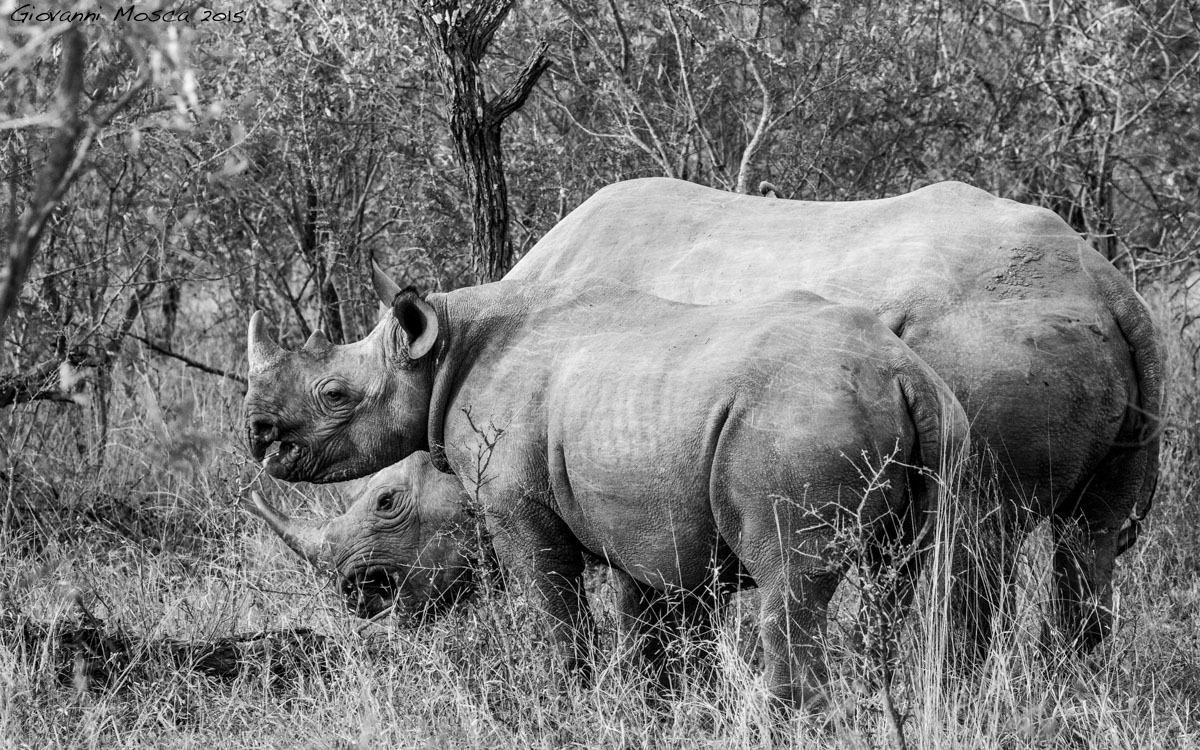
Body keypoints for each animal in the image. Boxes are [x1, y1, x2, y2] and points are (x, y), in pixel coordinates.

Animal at [245, 273, 968, 706]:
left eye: (386, 502)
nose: (257, 433)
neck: (443, 353)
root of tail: (902, 372)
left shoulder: (518, 509)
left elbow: (557, 608)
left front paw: (567, 699)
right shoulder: (640, 517)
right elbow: (644, 626)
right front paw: (654, 705)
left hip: (793, 422)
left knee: (789, 588)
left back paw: (784, 719)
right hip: (938, 419)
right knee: (905, 578)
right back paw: (883, 702)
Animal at [246, 178, 1161, 660]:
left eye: (386, 504)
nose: (357, 597)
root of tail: (1109, 287)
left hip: (982, 341)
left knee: (973, 544)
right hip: (1074, 351)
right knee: (1086, 543)